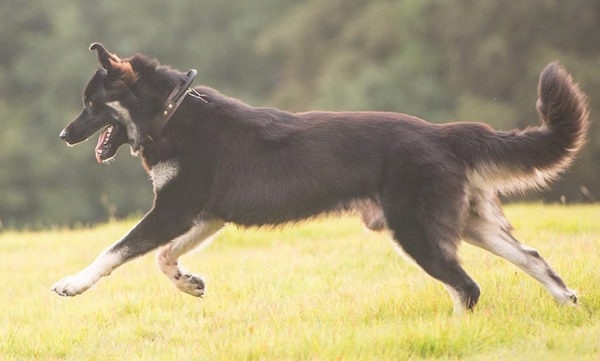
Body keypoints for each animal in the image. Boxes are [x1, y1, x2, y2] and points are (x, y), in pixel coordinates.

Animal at [54, 43, 588, 312]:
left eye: (90, 104)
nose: (63, 135)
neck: (171, 111)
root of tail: (443, 133)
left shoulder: (173, 211)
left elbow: (114, 252)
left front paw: (73, 284)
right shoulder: (204, 216)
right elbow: (164, 257)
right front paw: (189, 283)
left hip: (416, 231)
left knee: (468, 288)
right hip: (468, 223)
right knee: (534, 259)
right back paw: (569, 305)